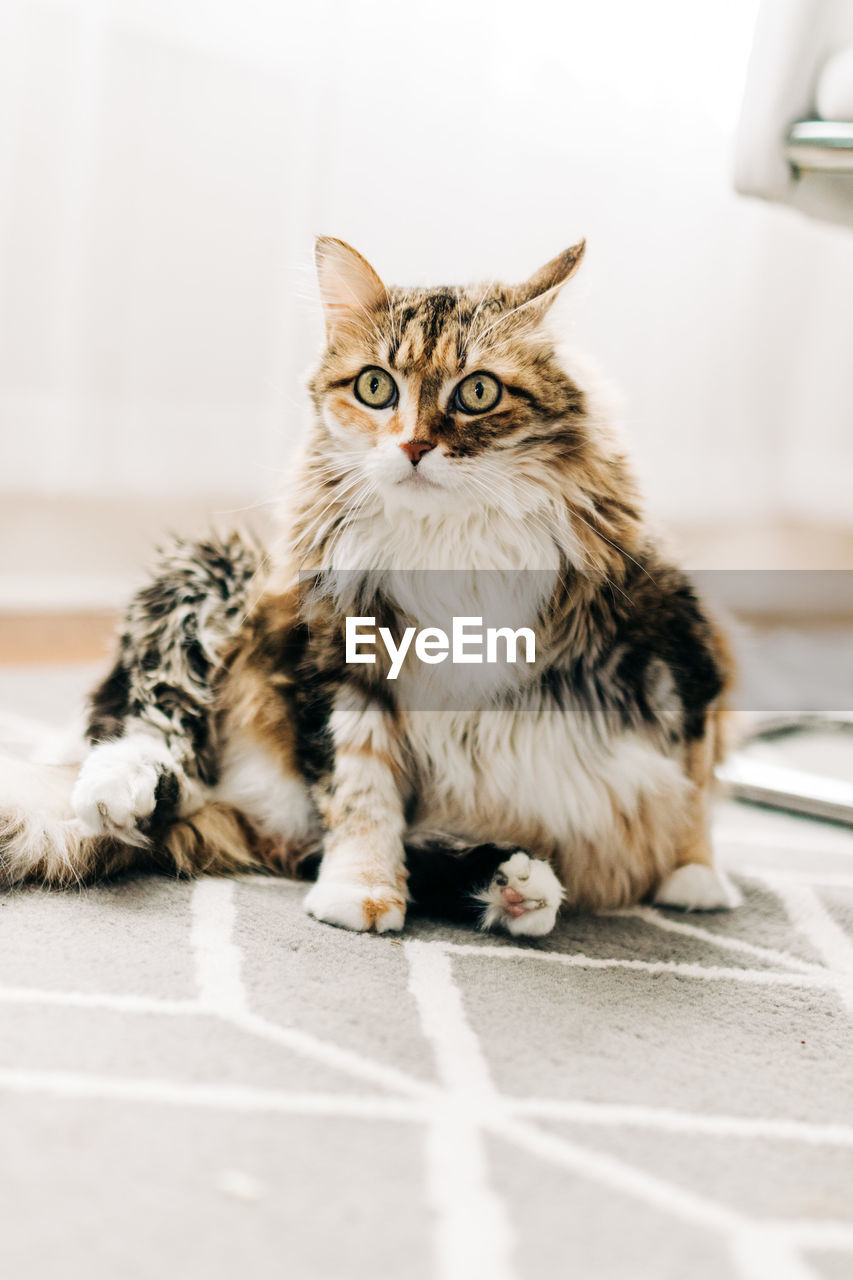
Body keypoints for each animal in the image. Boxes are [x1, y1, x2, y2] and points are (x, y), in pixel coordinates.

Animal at [0, 241, 737, 942]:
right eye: (376, 387)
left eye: (477, 393)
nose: (413, 447)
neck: (451, 545)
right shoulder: (340, 660)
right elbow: (360, 793)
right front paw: (361, 893)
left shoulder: (680, 644)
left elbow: (695, 783)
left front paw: (694, 874)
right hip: (215, 573)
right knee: (150, 721)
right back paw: (118, 789)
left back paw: (516, 887)